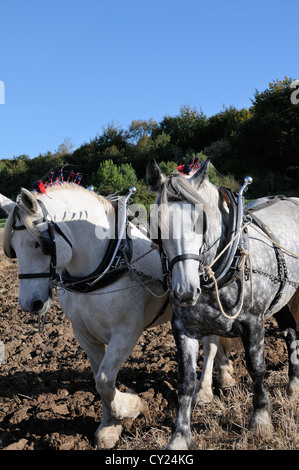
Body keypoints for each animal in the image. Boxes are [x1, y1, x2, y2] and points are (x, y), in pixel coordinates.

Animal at [0, 183, 234, 448]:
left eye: (40, 244)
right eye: (13, 248)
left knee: (211, 345)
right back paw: (225, 373)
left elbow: (104, 380)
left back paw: (204, 391)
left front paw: (132, 406)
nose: (29, 304)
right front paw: (109, 427)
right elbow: (100, 379)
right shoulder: (84, 334)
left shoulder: (126, 332)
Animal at [147, 160, 299, 450]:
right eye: (157, 225)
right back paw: (294, 386)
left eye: (201, 222)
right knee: (291, 332)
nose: (184, 291)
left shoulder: (253, 321)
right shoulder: (183, 328)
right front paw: (180, 436)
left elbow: (257, 368)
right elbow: (186, 381)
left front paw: (261, 419)